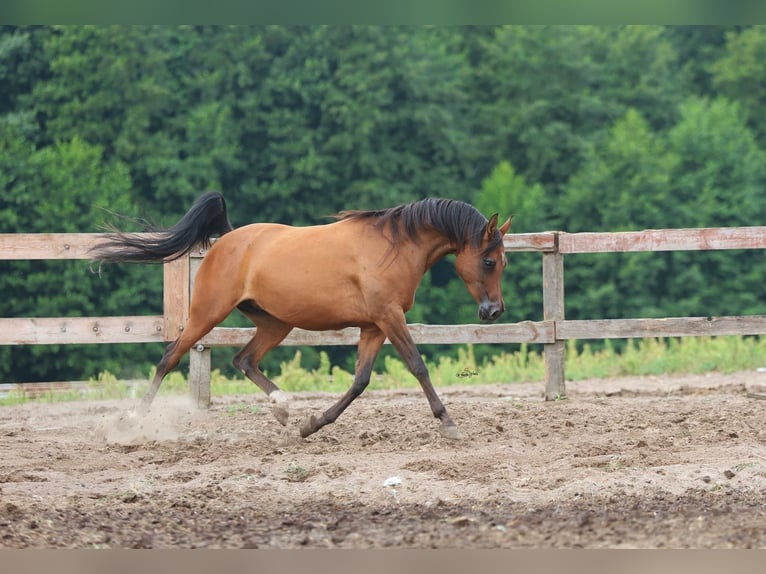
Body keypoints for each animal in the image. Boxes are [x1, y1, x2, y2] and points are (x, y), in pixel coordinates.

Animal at [93, 194, 512, 440]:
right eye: (489, 261)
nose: (493, 311)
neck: (393, 246)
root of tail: (227, 239)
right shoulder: (389, 317)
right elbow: (418, 366)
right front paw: (449, 423)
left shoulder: (373, 326)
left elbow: (360, 381)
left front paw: (311, 425)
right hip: (207, 314)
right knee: (169, 358)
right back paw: (130, 421)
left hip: (275, 322)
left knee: (244, 359)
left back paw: (282, 408)